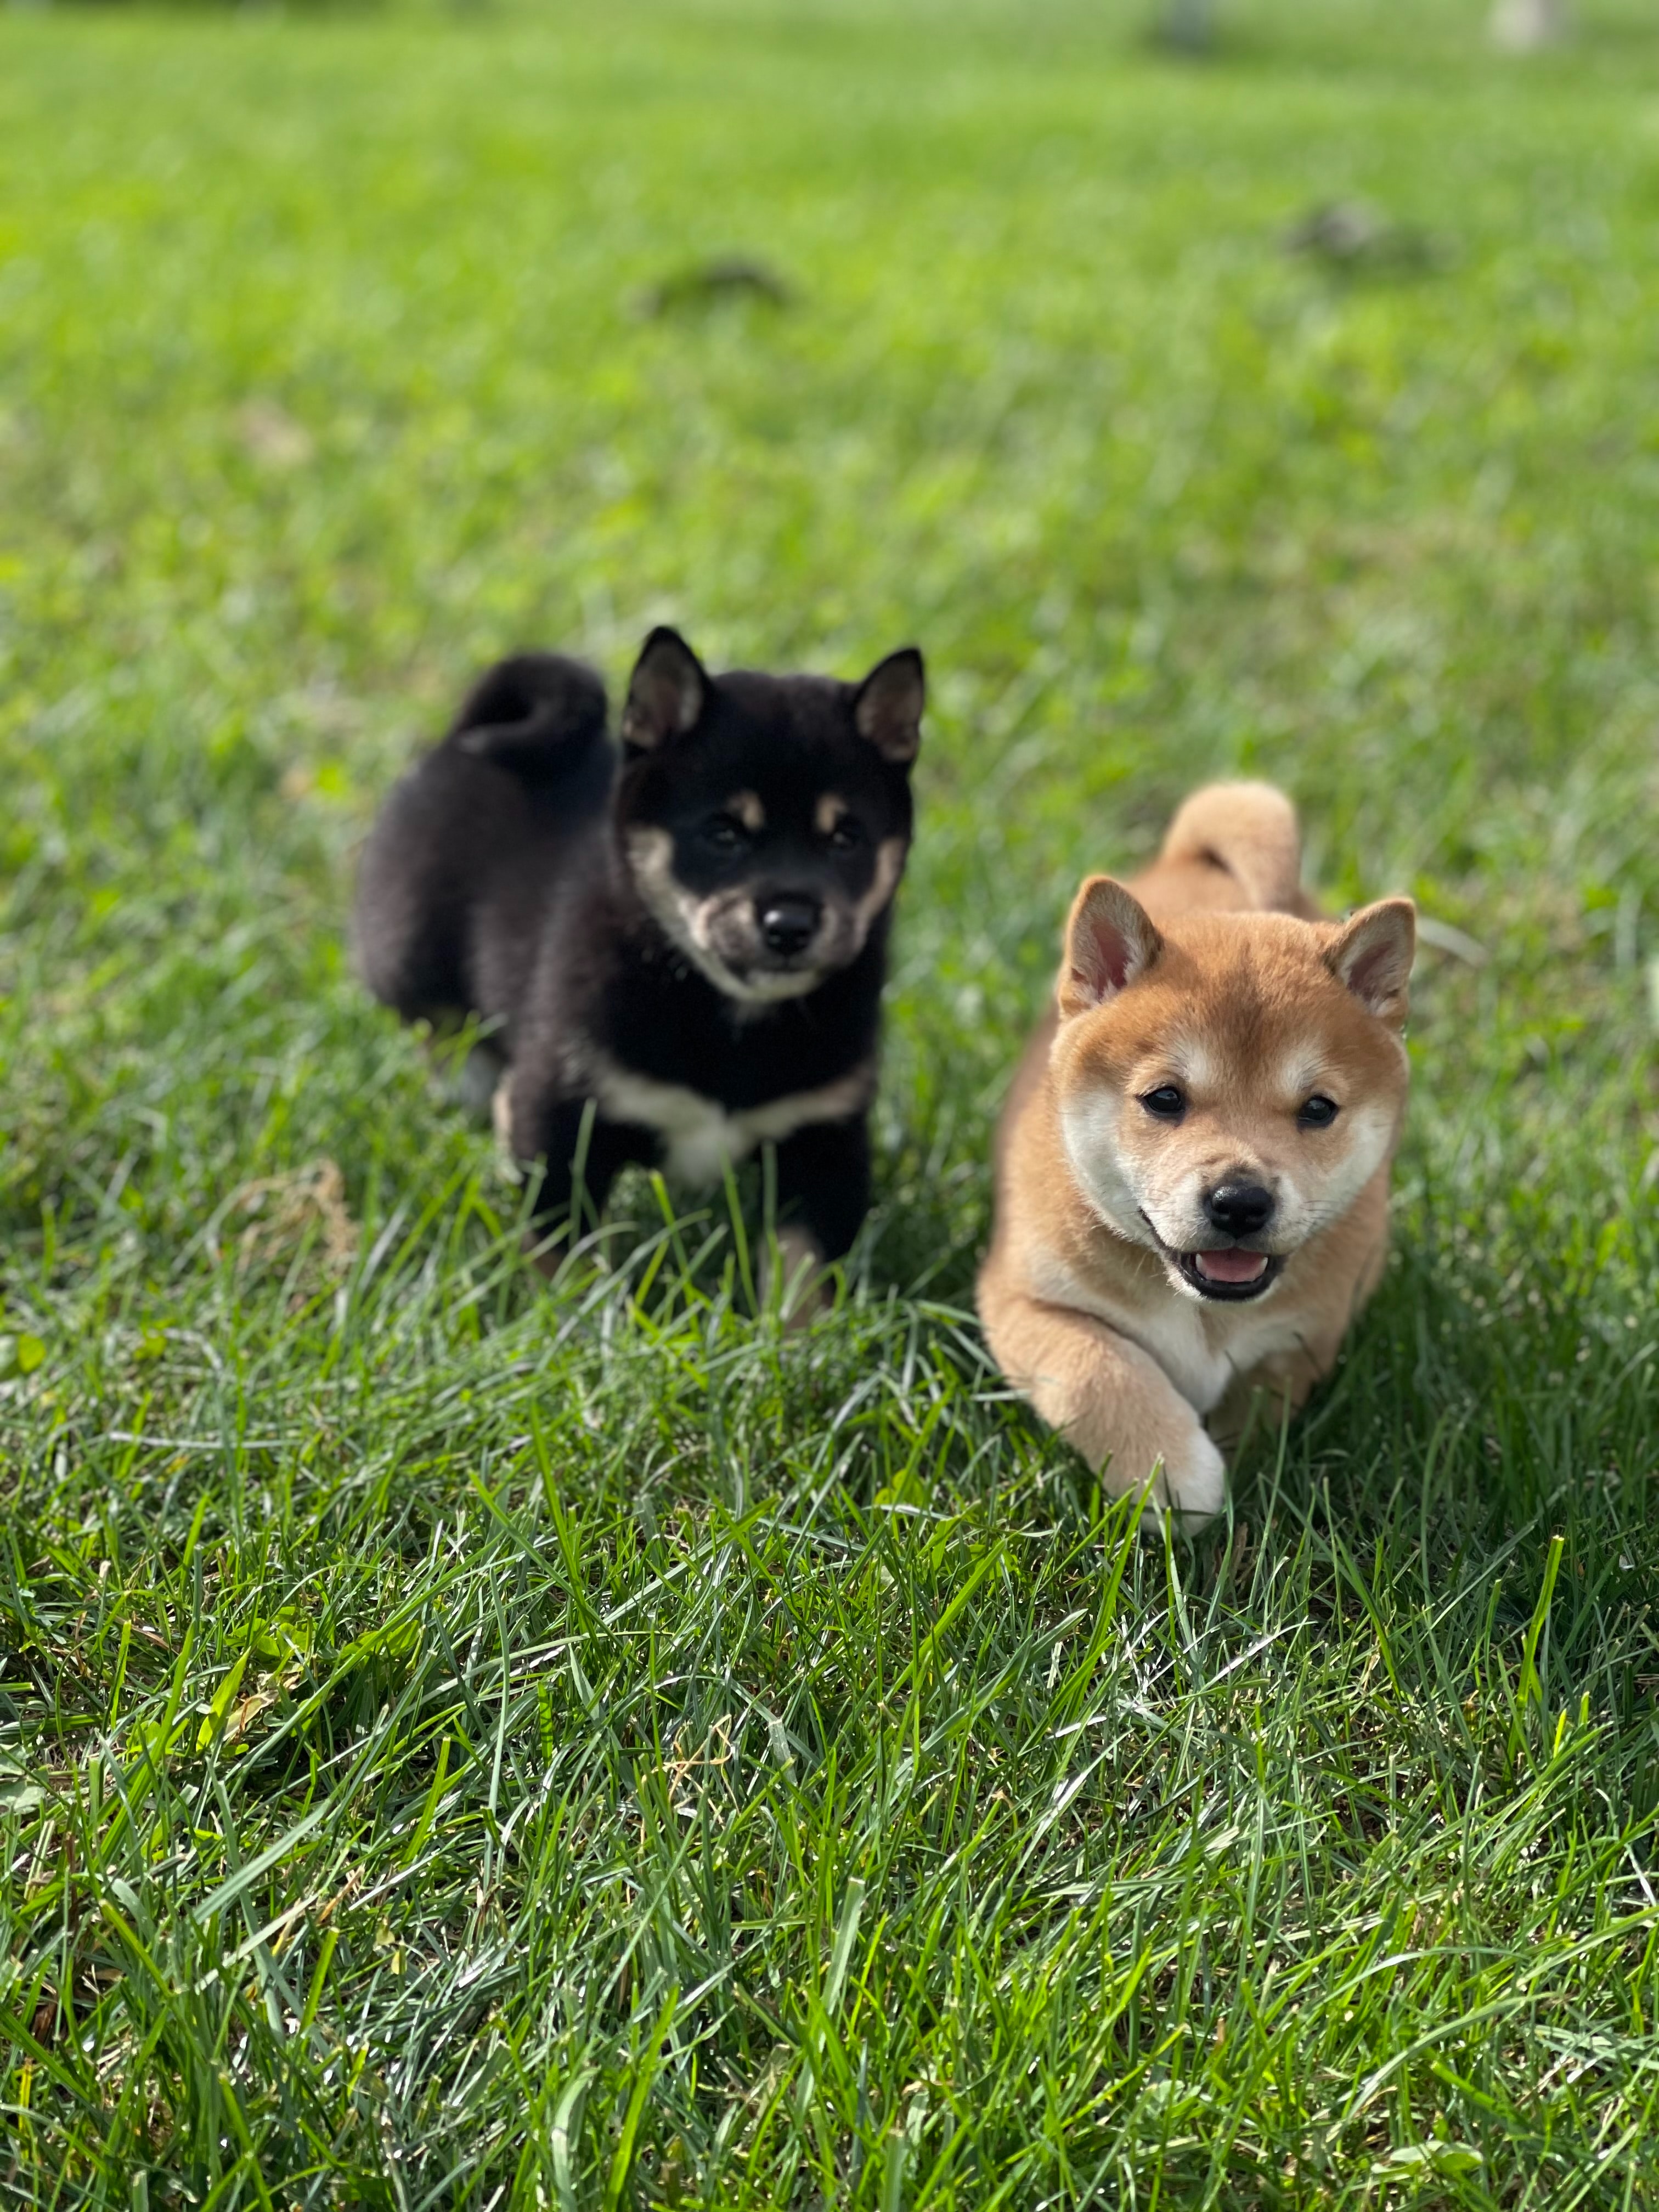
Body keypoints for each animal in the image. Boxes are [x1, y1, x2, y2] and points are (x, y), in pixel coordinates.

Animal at [358, 624, 929, 1291]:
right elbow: (563, 1252)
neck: (729, 1017)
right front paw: (568, 1312)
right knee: (442, 1029)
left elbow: (801, 1274)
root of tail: (460, 741)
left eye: (845, 838)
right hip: (408, 960)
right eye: (723, 833)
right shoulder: (561, 1116)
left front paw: (788, 1326)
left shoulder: (824, 1141)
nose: (790, 926)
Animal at [982, 787, 1424, 1531]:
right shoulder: (1022, 1298)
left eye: (1318, 1109)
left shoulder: (1301, 1338)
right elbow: (1095, 1370)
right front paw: (1169, 1470)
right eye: (1164, 1099)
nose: (1240, 1203)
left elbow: (1259, 1404)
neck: (1200, 1311)